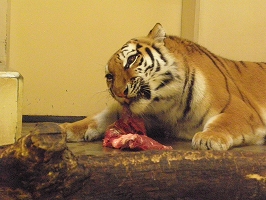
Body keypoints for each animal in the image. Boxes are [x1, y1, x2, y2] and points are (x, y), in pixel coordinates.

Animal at [60, 23, 266, 150]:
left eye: (131, 59)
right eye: (109, 76)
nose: (119, 93)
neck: (166, 107)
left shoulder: (240, 110)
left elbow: (223, 121)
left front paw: (208, 138)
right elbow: (97, 117)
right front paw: (64, 129)